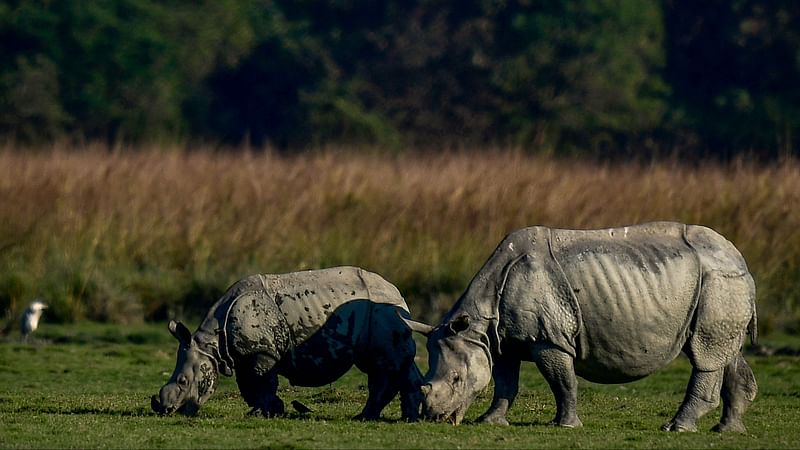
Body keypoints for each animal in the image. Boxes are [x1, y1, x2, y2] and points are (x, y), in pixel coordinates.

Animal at [152, 266, 422, 420]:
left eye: (183, 381)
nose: (165, 410)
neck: (211, 343)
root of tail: (397, 292)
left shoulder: (262, 352)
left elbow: (261, 382)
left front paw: (264, 413)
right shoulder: (243, 354)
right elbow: (249, 385)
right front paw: (267, 411)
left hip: (381, 313)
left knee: (383, 366)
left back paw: (365, 418)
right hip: (383, 315)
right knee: (391, 364)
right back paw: (407, 417)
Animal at [406, 221, 756, 432]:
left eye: (456, 379)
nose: (433, 417)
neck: (478, 323)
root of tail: (741, 259)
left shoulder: (549, 338)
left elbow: (563, 382)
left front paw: (564, 426)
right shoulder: (501, 340)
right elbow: (505, 383)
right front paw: (490, 423)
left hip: (719, 279)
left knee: (705, 354)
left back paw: (676, 428)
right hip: (722, 283)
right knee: (724, 351)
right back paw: (727, 430)